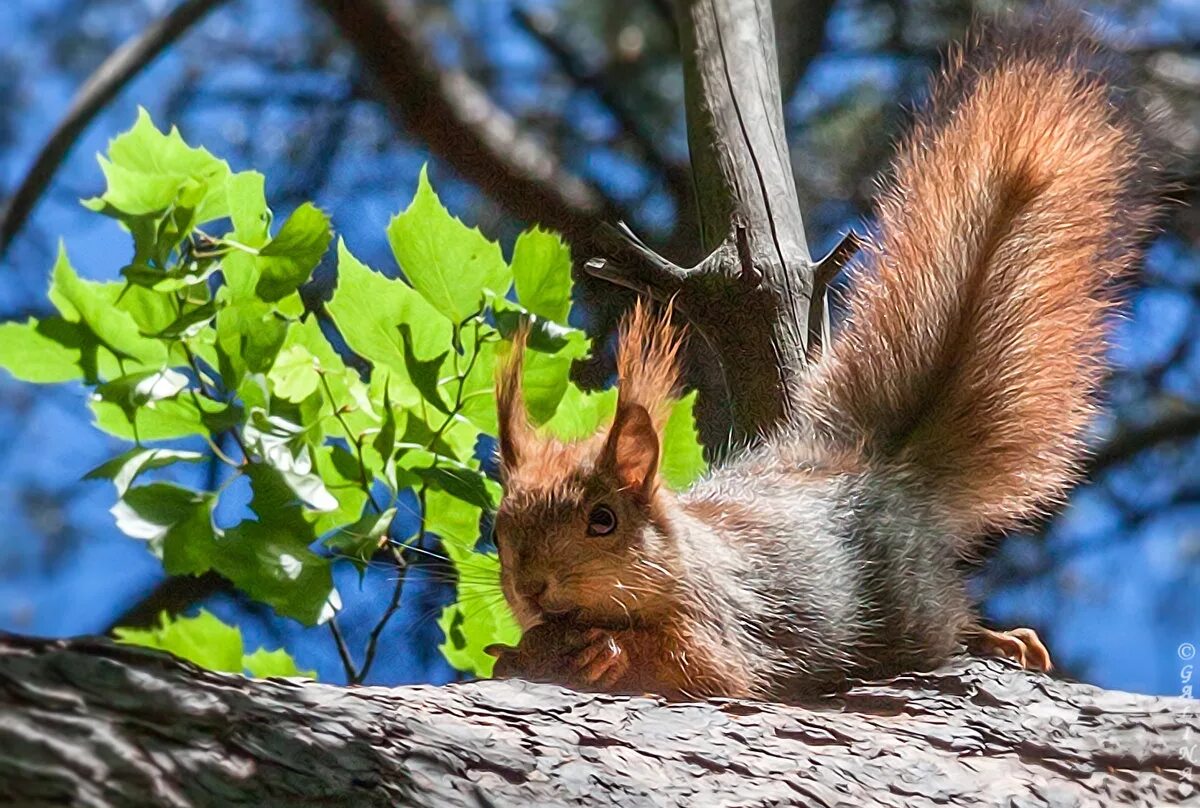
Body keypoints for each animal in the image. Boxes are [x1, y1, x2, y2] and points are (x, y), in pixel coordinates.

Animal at [482, 17, 1156, 701]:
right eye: (498, 527)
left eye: (603, 520)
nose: (532, 589)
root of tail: (879, 471)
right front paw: (513, 655)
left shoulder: (724, 621)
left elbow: (701, 667)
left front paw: (609, 652)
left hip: (909, 598)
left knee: (948, 622)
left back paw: (1000, 638)